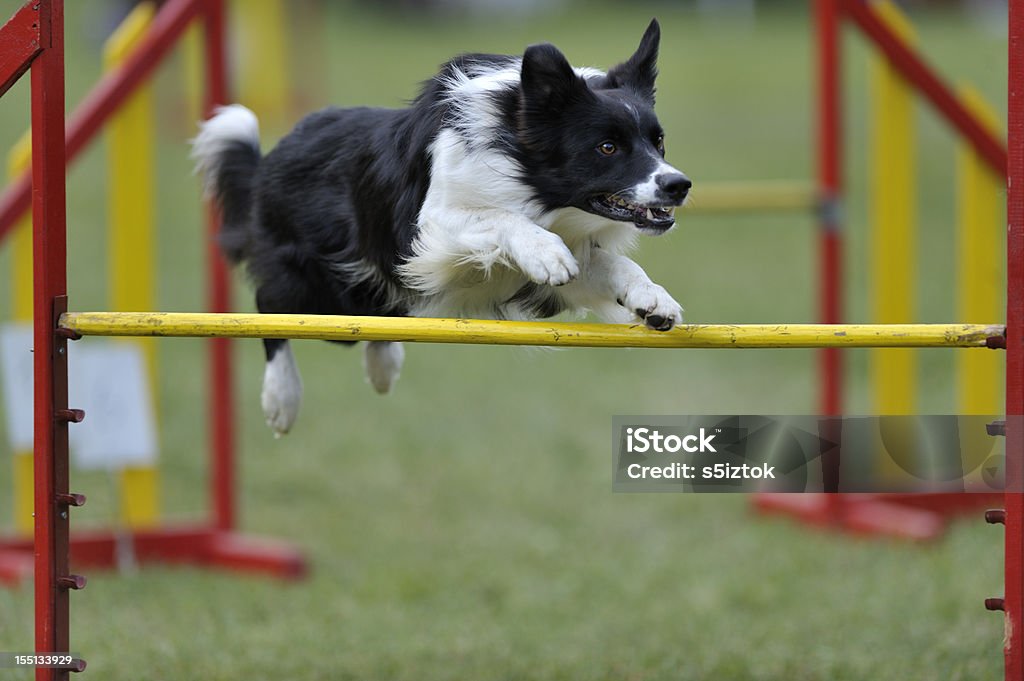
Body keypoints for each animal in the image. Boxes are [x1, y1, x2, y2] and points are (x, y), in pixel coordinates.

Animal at [192, 21, 688, 436]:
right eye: (607, 147)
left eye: (659, 141)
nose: (679, 185)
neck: (519, 160)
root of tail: (271, 157)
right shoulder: (428, 229)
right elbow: (503, 219)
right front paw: (544, 252)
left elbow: (609, 263)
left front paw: (652, 299)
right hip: (314, 284)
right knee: (270, 307)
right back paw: (282, 398)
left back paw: (384, 363)